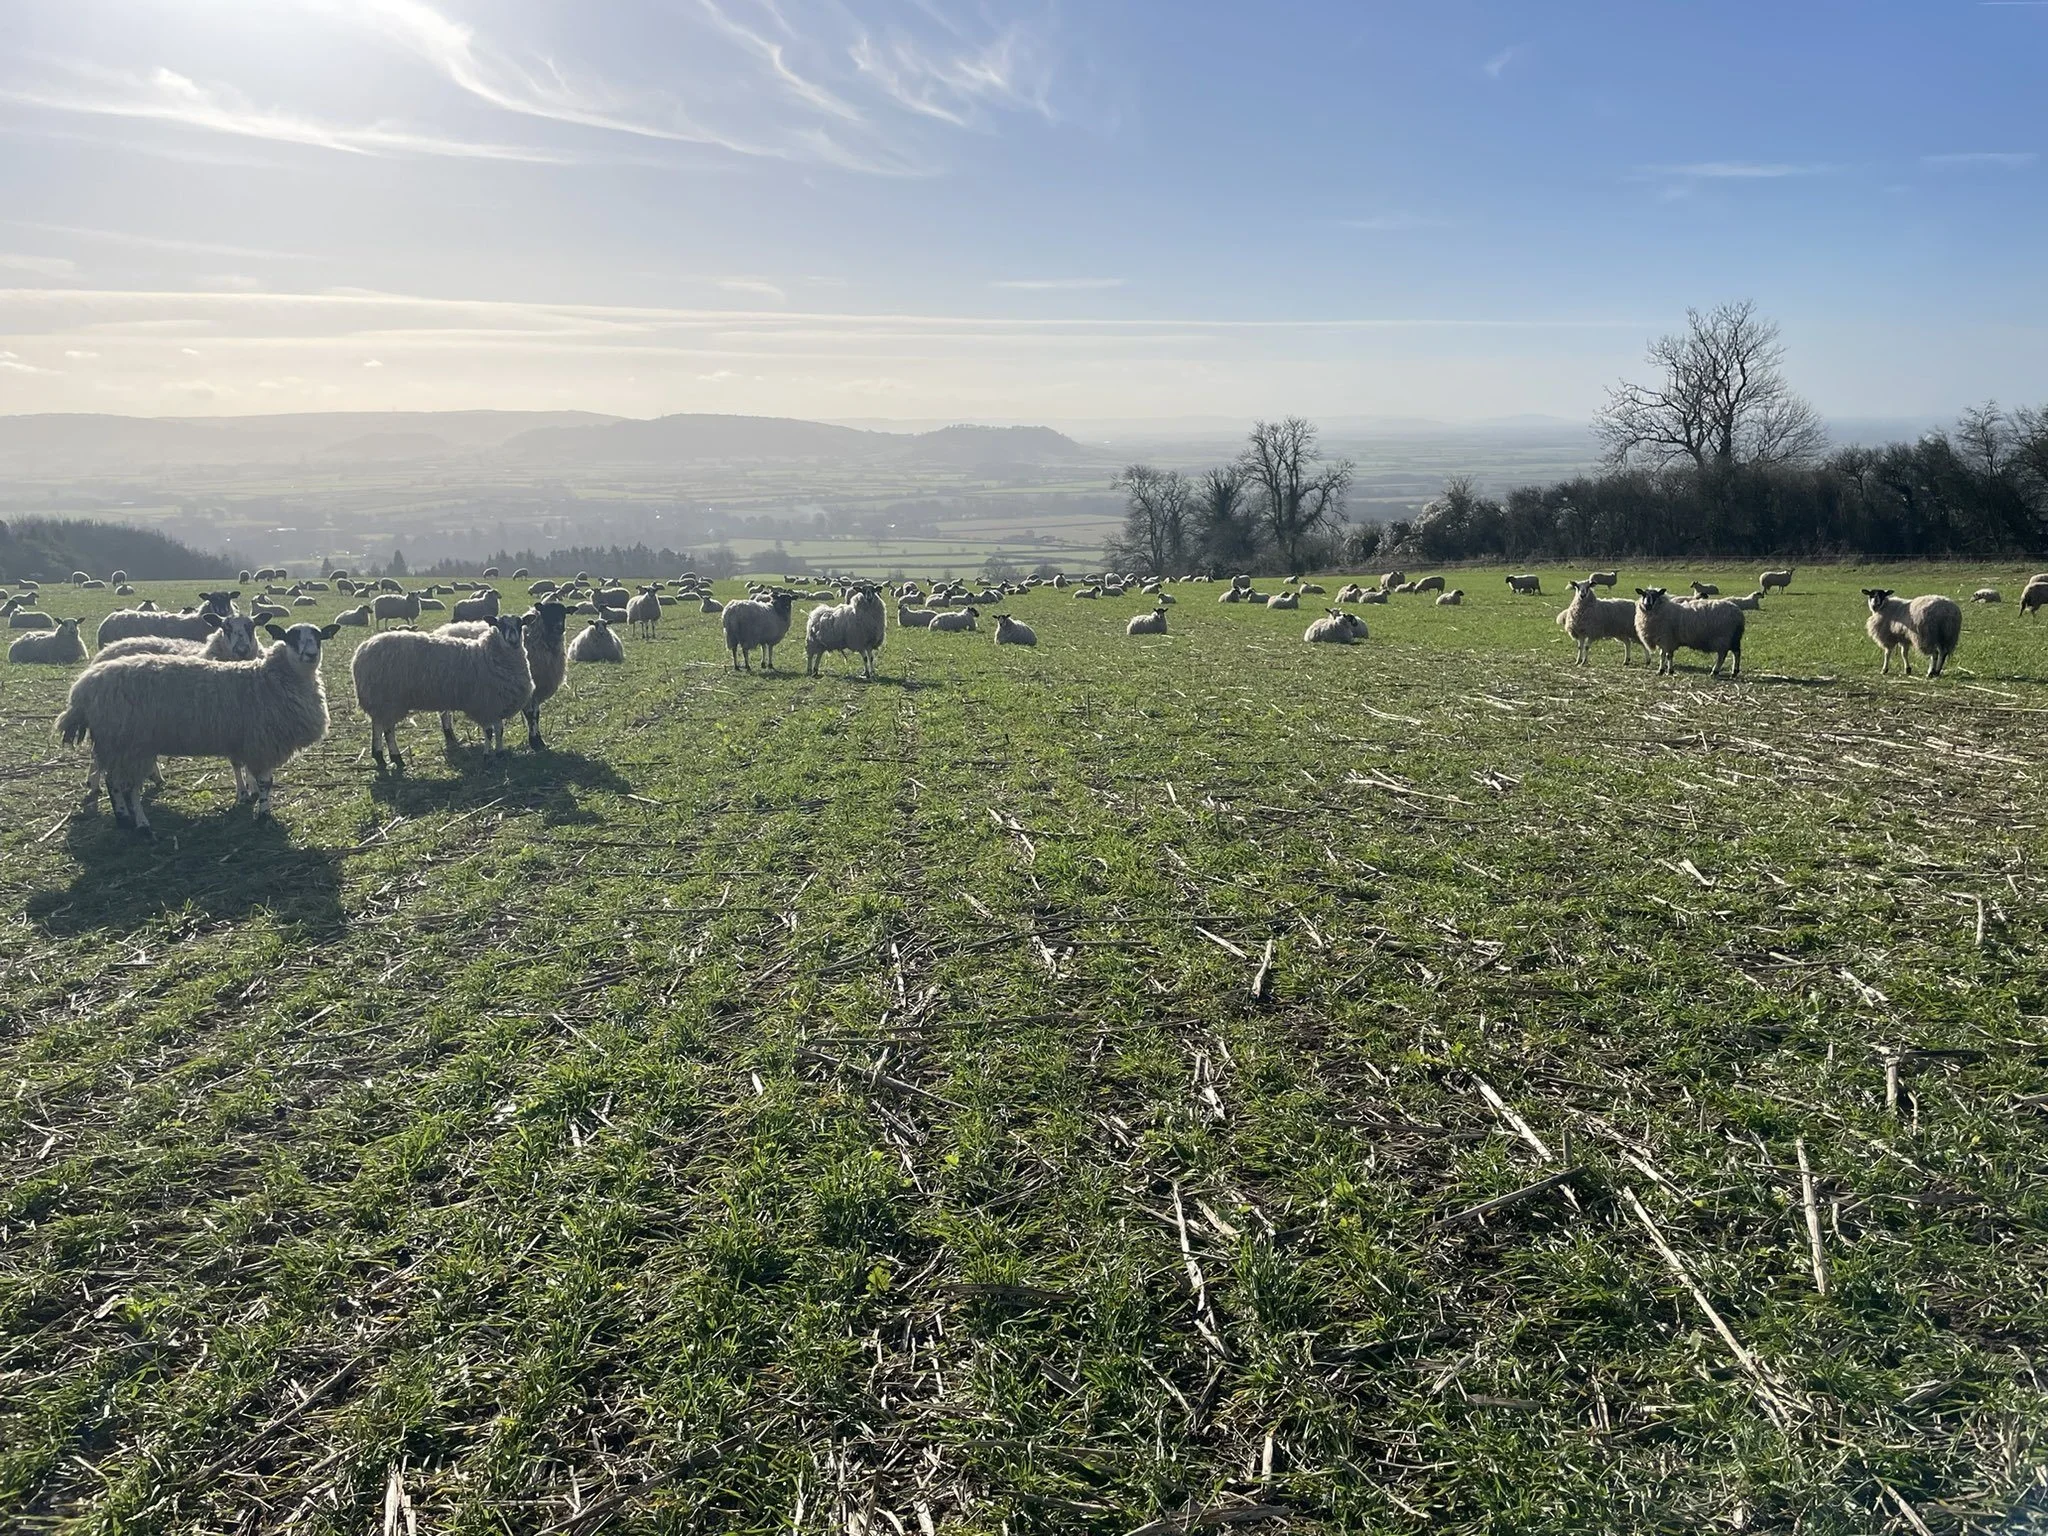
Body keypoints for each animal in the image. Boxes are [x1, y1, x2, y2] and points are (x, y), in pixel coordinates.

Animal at [356, 606, 540, 765]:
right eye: (500, 625)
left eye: (520, 624)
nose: (513, 641)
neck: (488, 655)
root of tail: (362, 650)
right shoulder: (484, 704)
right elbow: (489, 731)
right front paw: (488, 756)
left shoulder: (496, 704)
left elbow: (499, 729)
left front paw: (500, 753)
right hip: (388, 700)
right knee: (388, 730)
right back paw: (396, 758)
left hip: (380, 702)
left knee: (377, 726)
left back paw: (379, 756)